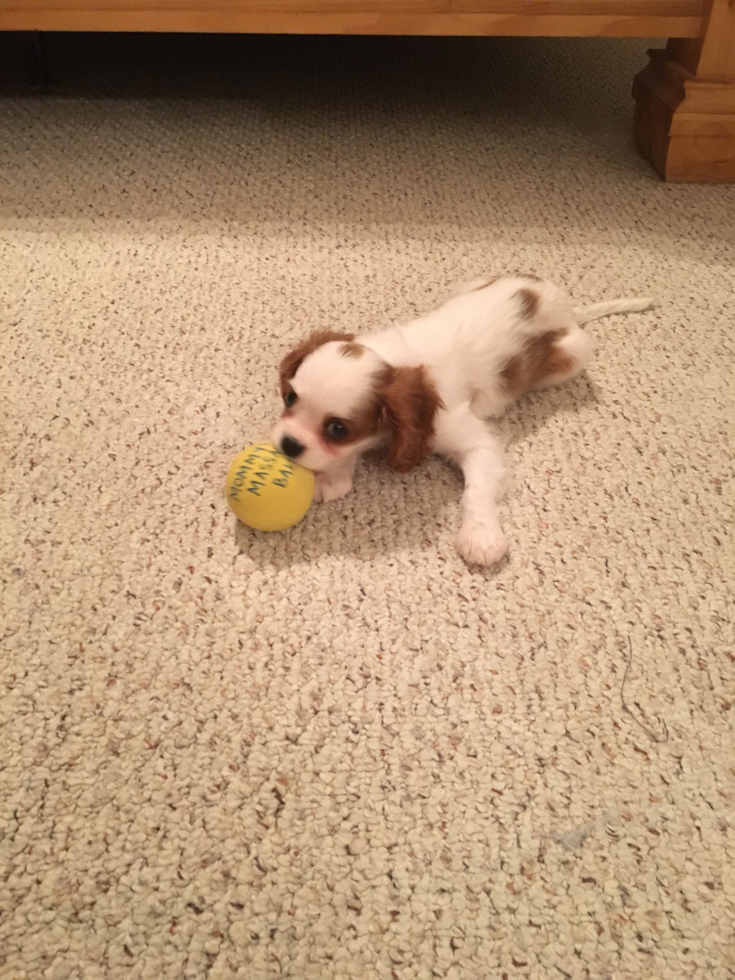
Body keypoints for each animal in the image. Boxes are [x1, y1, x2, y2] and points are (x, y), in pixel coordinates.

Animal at [272, 276, 656, 568]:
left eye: (338, 429)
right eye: (290, 398)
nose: (287, 445)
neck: (395, 362)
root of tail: (563, 304)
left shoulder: (470, 438)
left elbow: (476, 492)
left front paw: (481, 538)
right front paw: (335, 474)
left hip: (573, 356)